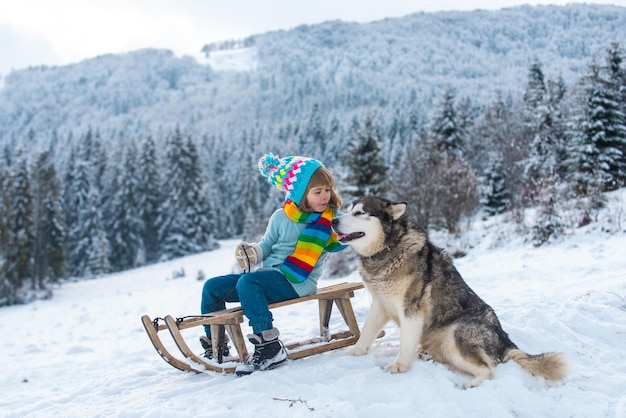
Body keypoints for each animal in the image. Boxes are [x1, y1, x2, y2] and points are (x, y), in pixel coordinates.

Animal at [332, 196, 564, 388]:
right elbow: (367, 331)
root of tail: (505, 340)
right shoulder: (381, 304)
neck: (387, 249)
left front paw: (400, 366)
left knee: (488, 370)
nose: (333, 221)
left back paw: (472, 383)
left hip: (455, 337)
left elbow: (405, 343)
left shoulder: (411, 309)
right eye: (348, 209)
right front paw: (357, 351)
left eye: (359, 213)